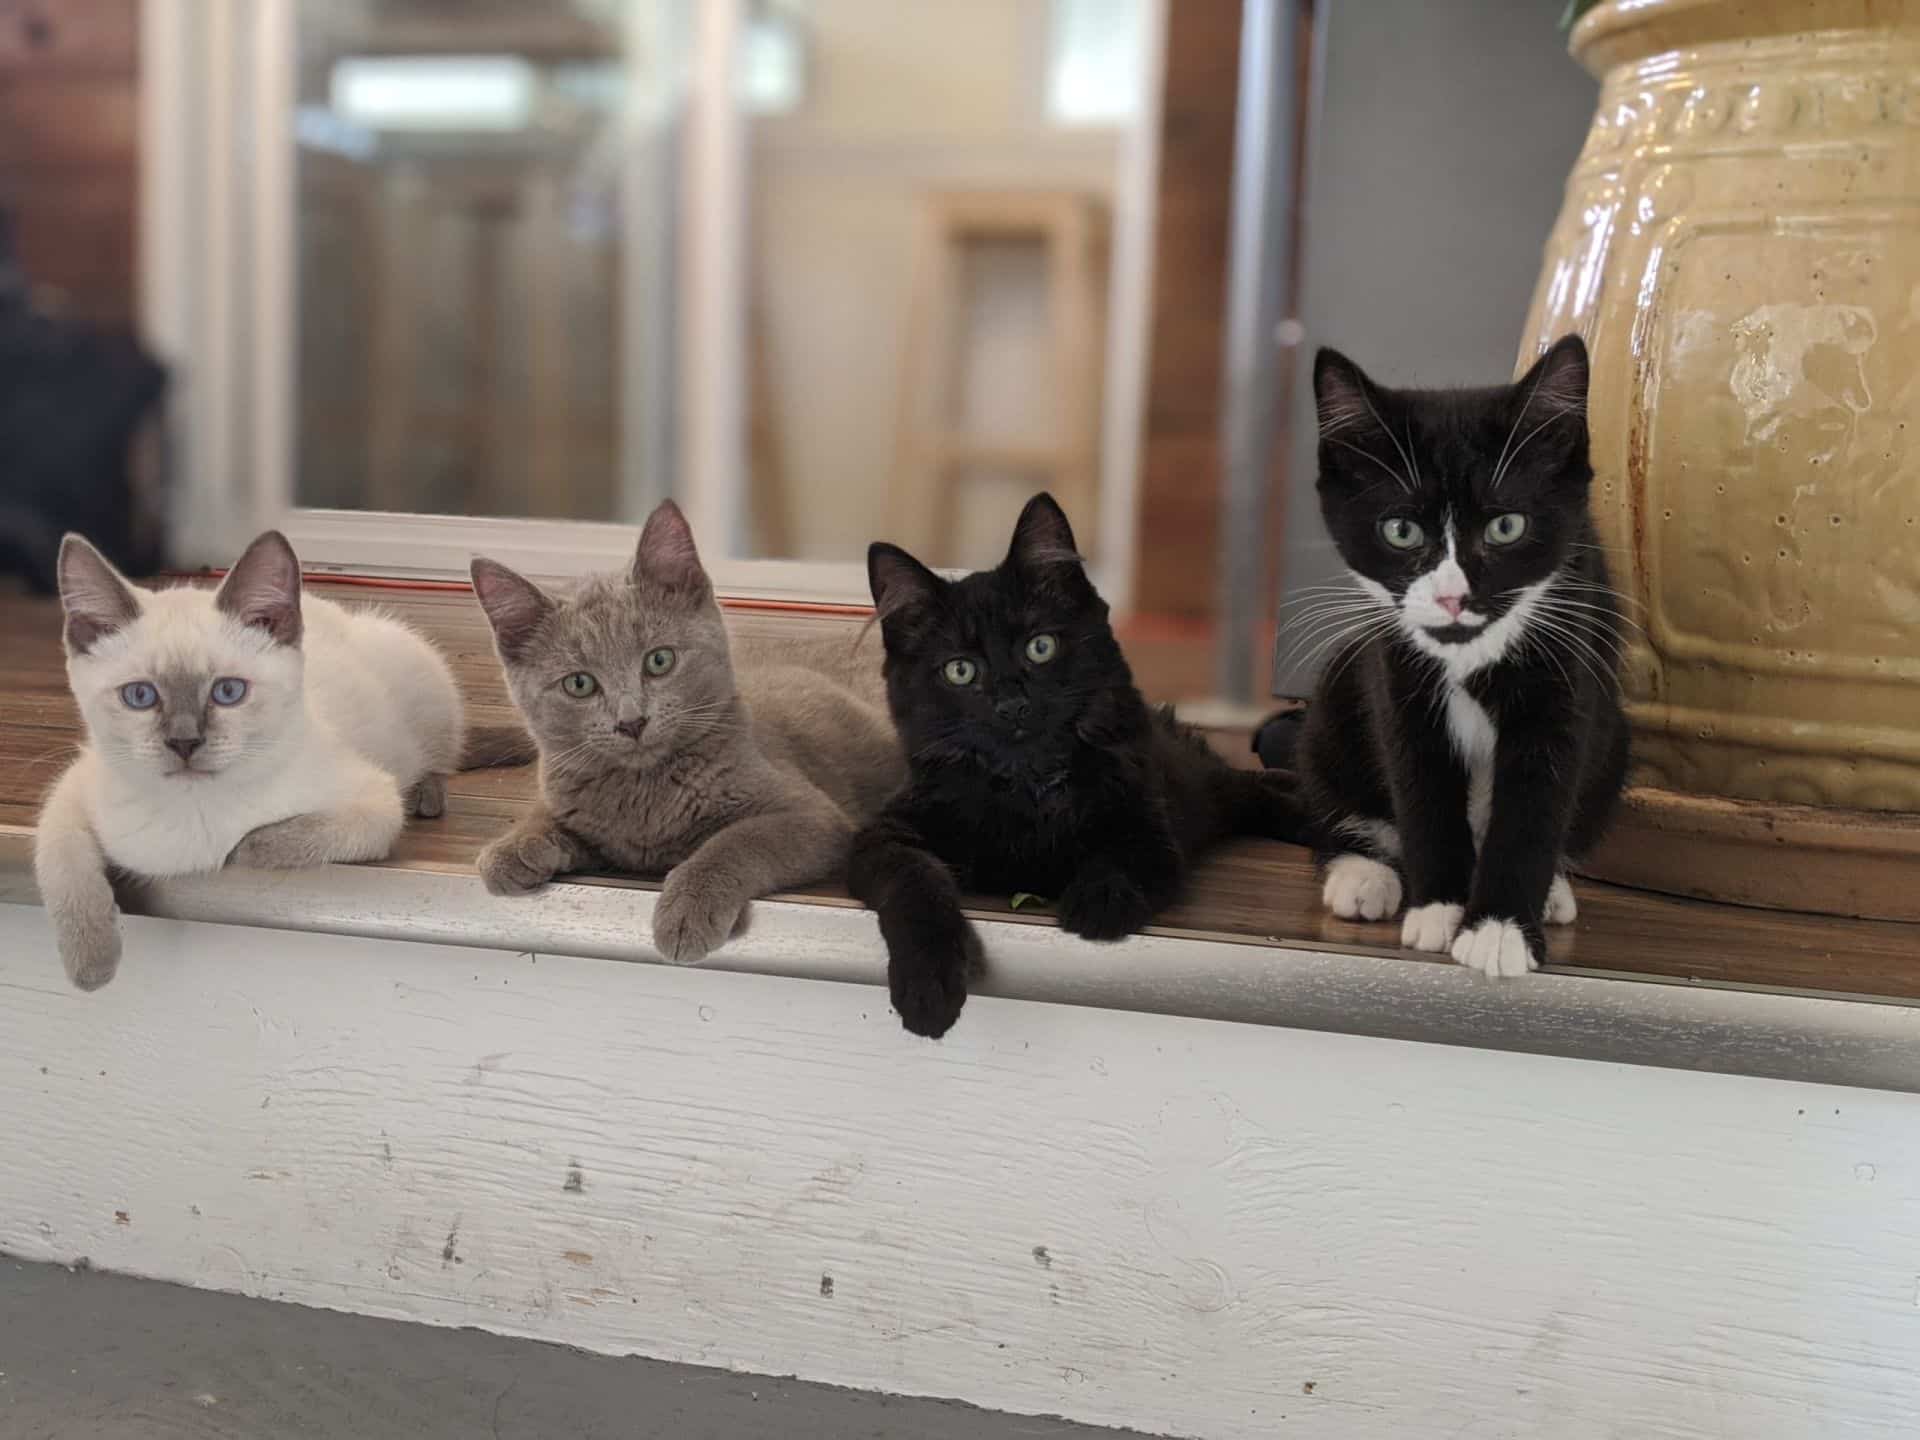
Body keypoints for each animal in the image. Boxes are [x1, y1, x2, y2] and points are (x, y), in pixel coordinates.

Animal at [37, 533, 464, 990]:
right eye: (140, 696)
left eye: (228, 692)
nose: (184, 742)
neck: (195, 812)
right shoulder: (72, 791)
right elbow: (63, 867)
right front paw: (91, 967)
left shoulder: (375, 801)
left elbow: (276, 840)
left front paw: (241, 849)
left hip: (419, 676)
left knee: (440, 763)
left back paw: (426, 796)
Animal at [472, 503, 906, 963]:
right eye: (579, 684)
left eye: (659, 660)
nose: (631, 721)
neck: (646, 797)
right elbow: (550, 812)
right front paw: (515, 846)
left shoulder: (813, 816)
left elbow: (737, 840)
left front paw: (688, 908)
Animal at [856, 495, 1305, 1036]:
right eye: (960, 670)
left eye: (1040, 646)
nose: (1012, 705)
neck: (1029, 788)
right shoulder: (885, 832)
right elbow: (915, 878)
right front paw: (927, 986)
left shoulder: (1147, 821)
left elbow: (1123, 857)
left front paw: (1097, 902)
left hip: (1199, 786)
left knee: (1253, 788)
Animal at [1267, 332, 1628, 975]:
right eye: (1401, 531)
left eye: (1507, 526)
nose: (1453, 597)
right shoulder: (1394, 672)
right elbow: (1421, 784)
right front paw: (1440, 910)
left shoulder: (1568, 659)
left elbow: (1537, 799)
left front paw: (1499, 929)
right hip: (1335, 695)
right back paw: (1363, 874)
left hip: (1616, 742)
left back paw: (1553, 892)